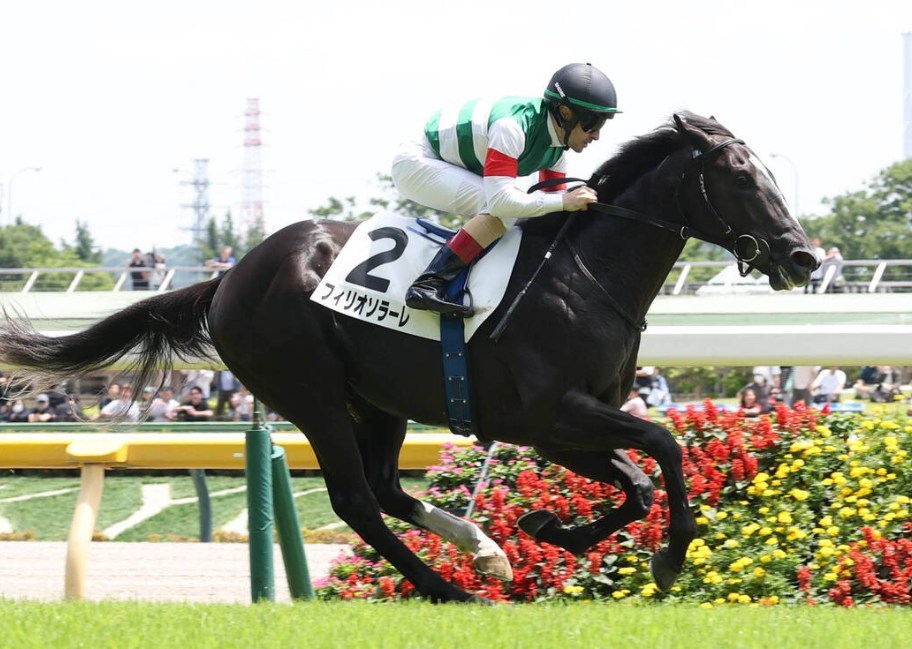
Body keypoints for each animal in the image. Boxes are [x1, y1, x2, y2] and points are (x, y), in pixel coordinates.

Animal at [0, 112, 817, 603]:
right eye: (740, 177)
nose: (803, 257)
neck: (585, 277)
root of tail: (229, 276)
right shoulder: (553, 414)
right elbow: (664, 447)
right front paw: (668, 556)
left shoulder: (563, 426)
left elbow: (637, 483)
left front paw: (547, 528)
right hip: (313, 395)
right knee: (357, 500)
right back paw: (451, 587)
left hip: (379, 402)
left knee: (389, 489)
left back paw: (483, 551)